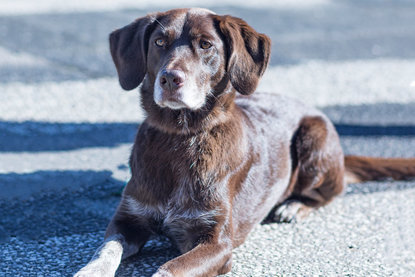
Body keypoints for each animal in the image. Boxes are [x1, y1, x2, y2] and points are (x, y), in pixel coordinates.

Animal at [75, 7, 415, 274]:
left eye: (206, 45)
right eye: (159, 42)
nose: (170, 78)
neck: (181, 139)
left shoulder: (217, 243)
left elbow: (168, 269)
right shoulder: (126, 221)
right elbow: (103, 253)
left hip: (315, 137)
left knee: (331, 191)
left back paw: (293, 206)